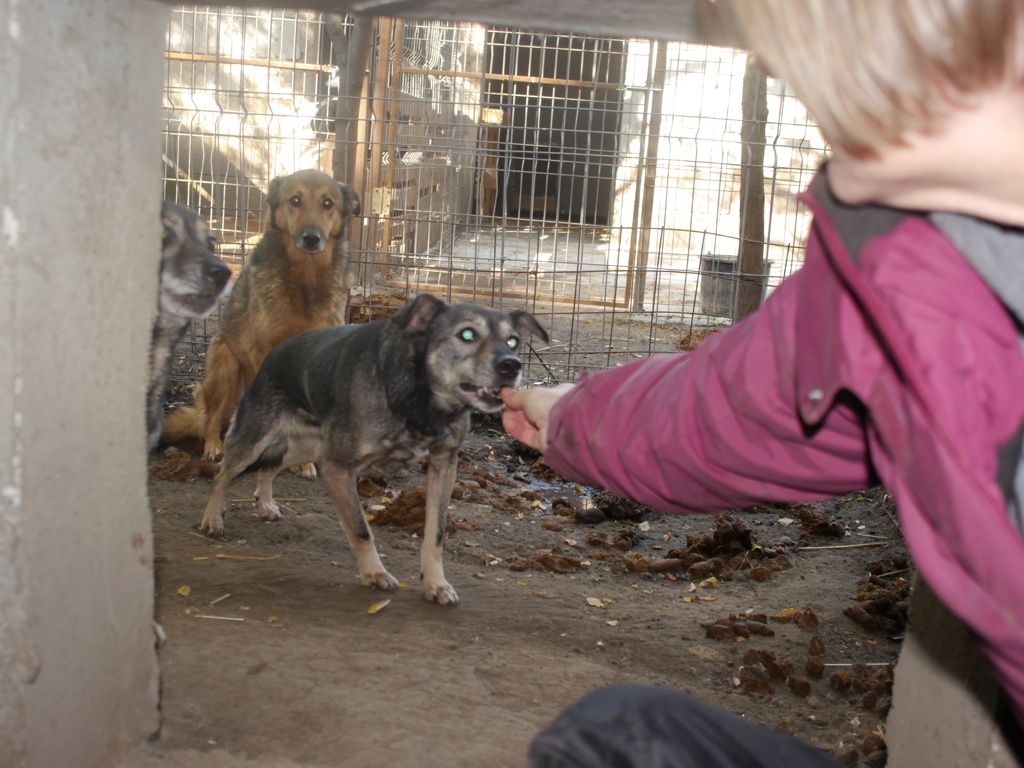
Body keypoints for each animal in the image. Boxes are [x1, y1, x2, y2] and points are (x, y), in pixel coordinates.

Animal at [159, 171, 360, 468]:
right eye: (295, 200)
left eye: (328, 203)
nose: (311, 238)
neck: (306, 279)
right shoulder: (261, 353)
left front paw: (304, 461)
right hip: (225, 363)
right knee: (211, 419)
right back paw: (214, 447)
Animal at [196, 294, 548, 606]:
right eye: (467, 334)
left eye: (513, 341)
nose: (511, 366)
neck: (418, 397)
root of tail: (272, 356)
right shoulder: (338, 467)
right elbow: (361, 530)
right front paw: (375, 574)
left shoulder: (443, 466)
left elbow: (435, 534)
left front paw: (435, 583)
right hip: (256, 441)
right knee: (222, 474)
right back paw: (212, 518)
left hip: (308, 449)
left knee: (271, 466)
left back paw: (266, 503)